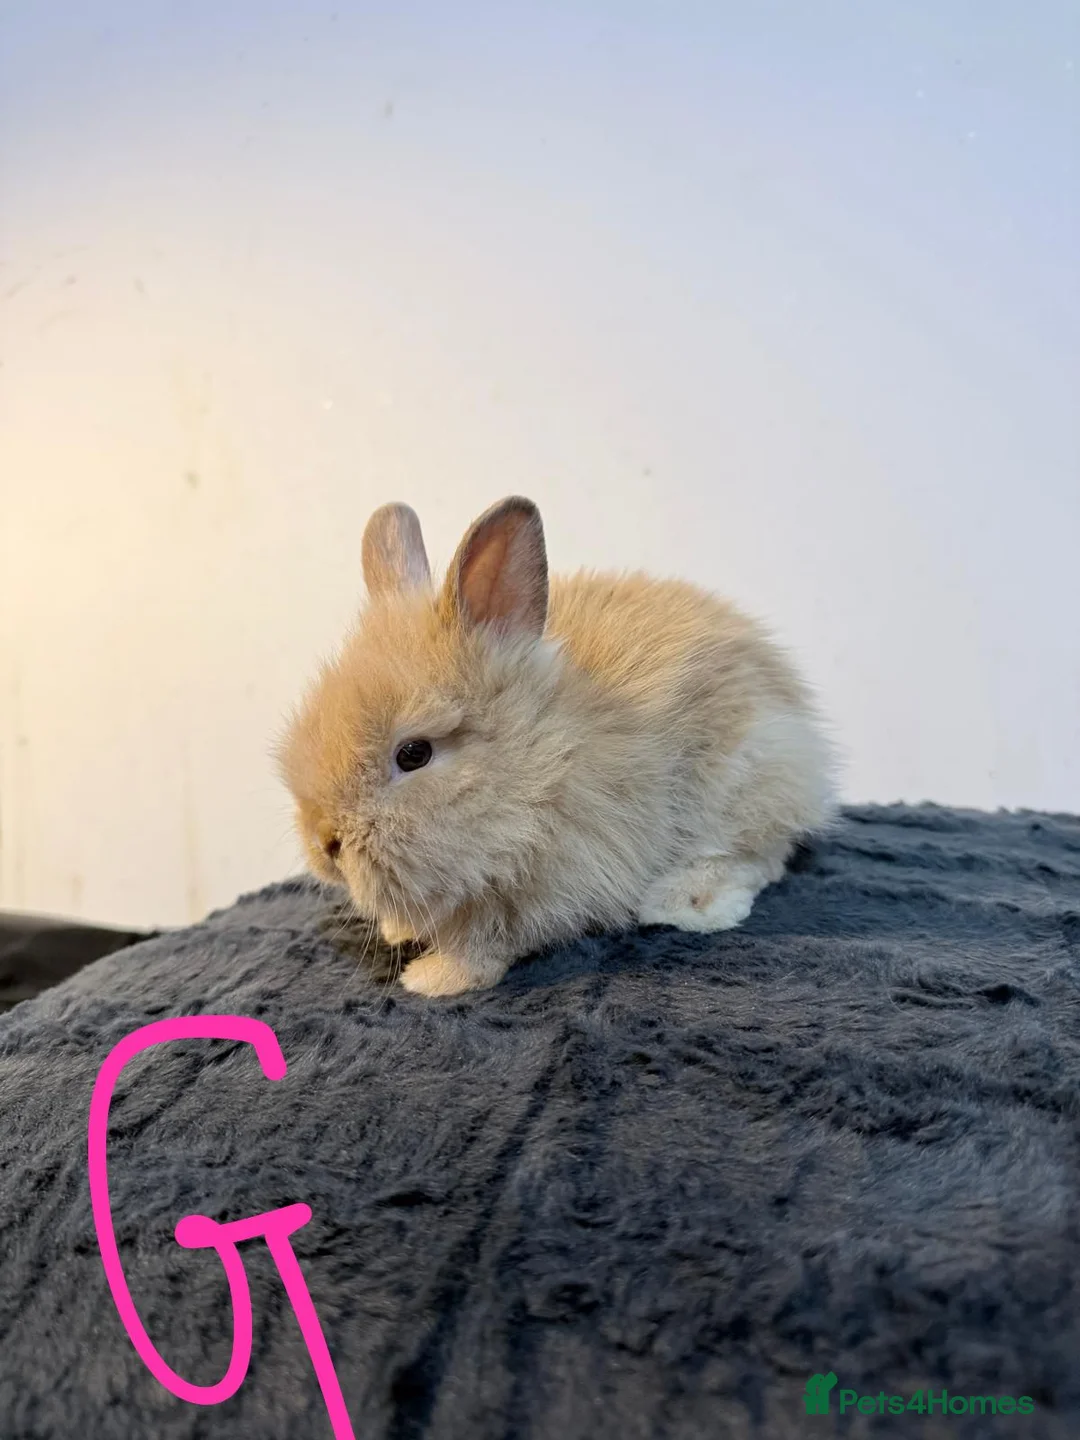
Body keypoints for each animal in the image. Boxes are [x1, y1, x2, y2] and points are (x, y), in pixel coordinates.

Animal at [277, 496, 836, 996]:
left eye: (413, 754)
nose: (325, 843)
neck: (543, 761)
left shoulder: (546, 886)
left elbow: (487, 940)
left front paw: (434, 978)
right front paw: (401, 931)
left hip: (746, 780)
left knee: (759, 856)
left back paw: (684, 903)